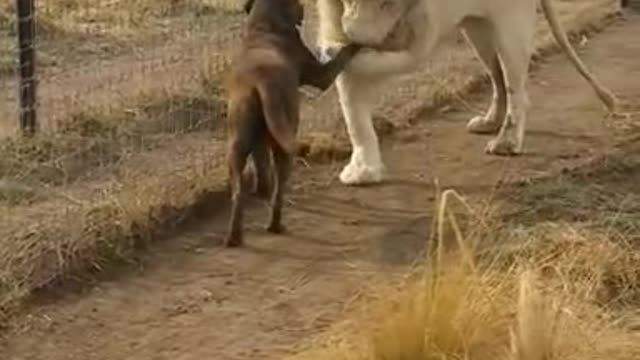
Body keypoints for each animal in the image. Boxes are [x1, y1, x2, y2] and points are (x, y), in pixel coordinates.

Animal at [224, 0, 360, 246]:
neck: (264, 26)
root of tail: (260, 81)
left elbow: (261, 166)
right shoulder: (321, 75)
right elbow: (343, 55)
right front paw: (356, 44)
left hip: (237, 143)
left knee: (240, 191)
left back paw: (234, 236)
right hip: (284, 139)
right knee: (278, 189)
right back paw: (275, 225)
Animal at [318, 0, 616, 186]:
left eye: (386, 2)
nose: (355, 37)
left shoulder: (421, 34)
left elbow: (382, 59)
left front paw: (339, 53)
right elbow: (354, 115)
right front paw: (363, 171)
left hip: (510, 26)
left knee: (516, 88)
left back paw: (506, 142)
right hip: (477, 30)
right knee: (498, 77)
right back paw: (489, 122)